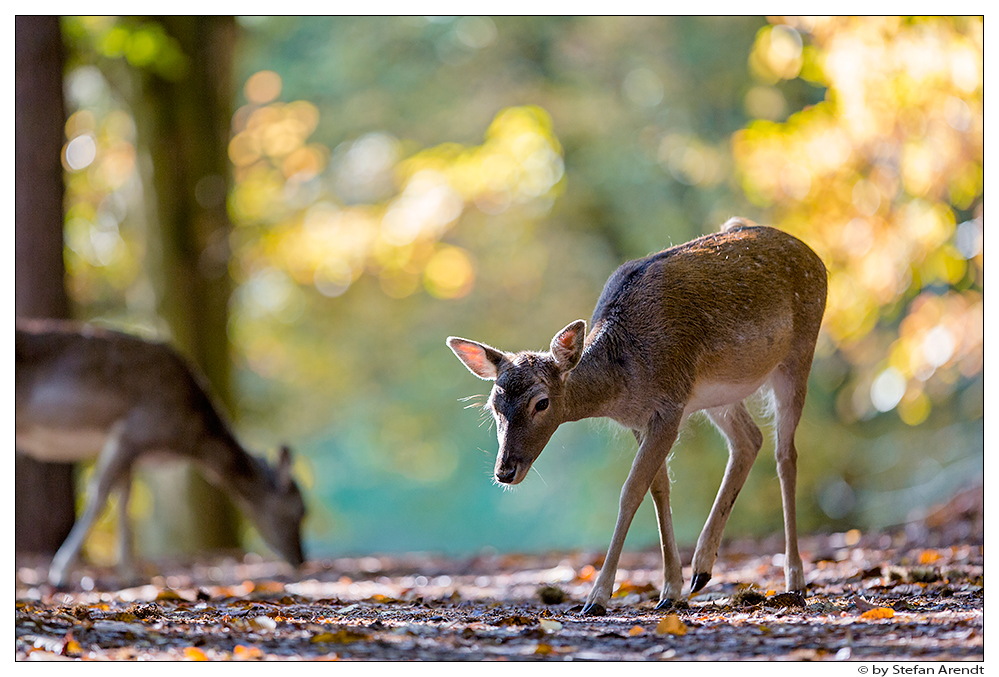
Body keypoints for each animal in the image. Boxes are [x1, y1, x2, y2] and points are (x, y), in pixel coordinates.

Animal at [14, 318, 304, 588]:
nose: (300, 559)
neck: (186, 437)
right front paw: (59, 573)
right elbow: (99, 496)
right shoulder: (133, 433)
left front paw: (130, 574)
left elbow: (124, 500)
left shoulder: (129, 448)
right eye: (299, 511)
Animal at [450, 219, 824, 616]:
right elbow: (659, 488)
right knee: (749, 440)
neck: (625, 381)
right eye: (494, 405)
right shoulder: (641, 420)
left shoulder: (669, 406)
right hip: (719, 395)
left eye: (542, 403)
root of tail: (816, 259)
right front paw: (671, 591)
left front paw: (597, 598)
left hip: (799, 352)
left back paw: (795, 580)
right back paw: (702, 570)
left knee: (786, 455)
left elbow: (631, 491)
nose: (505, 471)